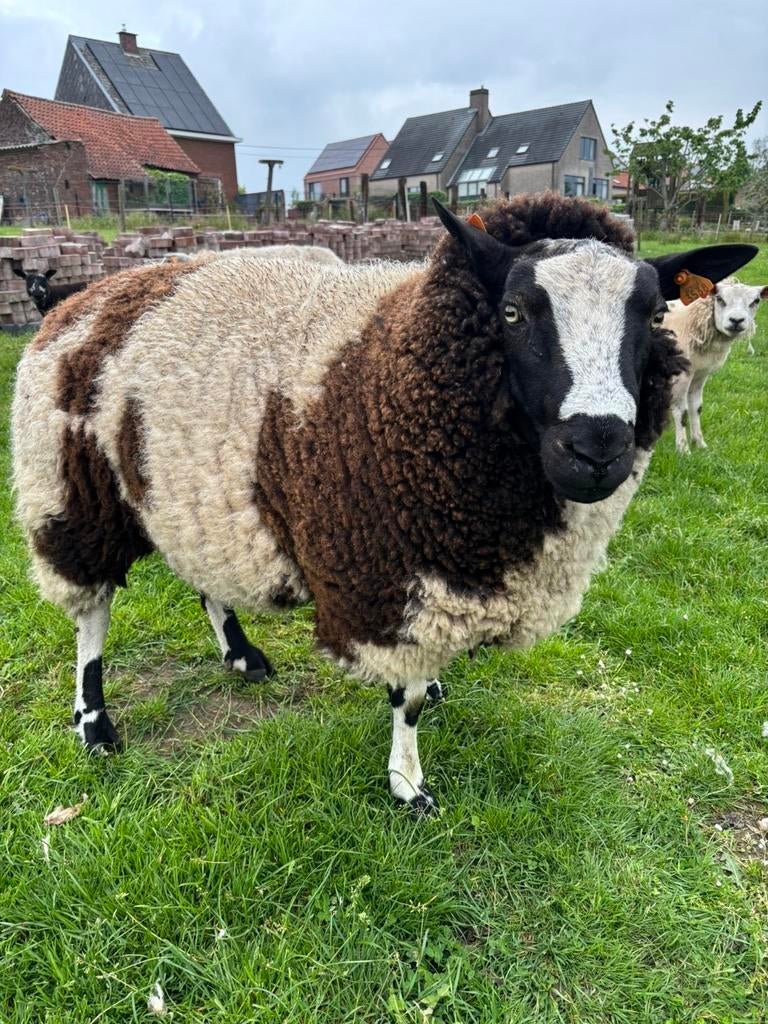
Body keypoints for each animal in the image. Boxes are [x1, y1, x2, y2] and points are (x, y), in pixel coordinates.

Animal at [664, 277, 767, 452]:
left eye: (756, 301)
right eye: (719, 299)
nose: (736, 320)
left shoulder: (700, 374)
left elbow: (696, 408)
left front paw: (700, 444)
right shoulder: (681, 374)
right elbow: (681, 412)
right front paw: (683, 450)